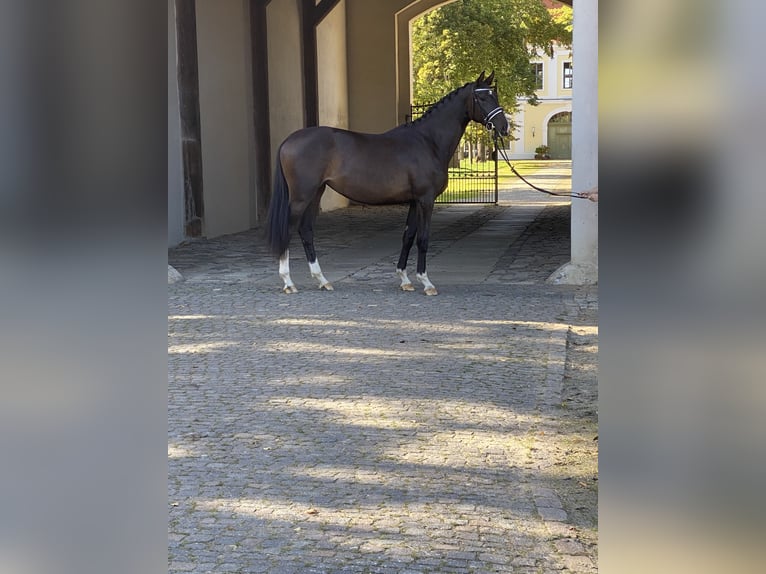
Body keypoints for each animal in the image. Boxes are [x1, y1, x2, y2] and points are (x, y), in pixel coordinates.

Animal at [268, 72, 512, 296]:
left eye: (494, 95)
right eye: (482, 97)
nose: (503, 127)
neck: (428, 141)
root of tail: (289, 140)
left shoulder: (414, 201)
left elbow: (408, 236)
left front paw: (405, 280)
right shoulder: (425, 200)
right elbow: (423, 239)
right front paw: (426, 283)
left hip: (316, 193)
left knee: (306, 230)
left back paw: (322, 280)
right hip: (301, 197)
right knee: (289, 230)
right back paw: (288, 282)